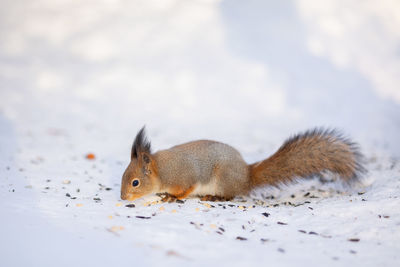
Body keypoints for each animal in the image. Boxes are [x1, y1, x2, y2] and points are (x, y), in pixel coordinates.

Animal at [120, 126, 368, 202]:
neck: (162, 170)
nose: (122, 198)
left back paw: (214, 197)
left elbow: (188, 188)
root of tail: (247, 175)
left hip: (223, 181)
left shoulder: (186, 176)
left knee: (231, 195)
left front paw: (172, 197)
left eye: (135, 182)